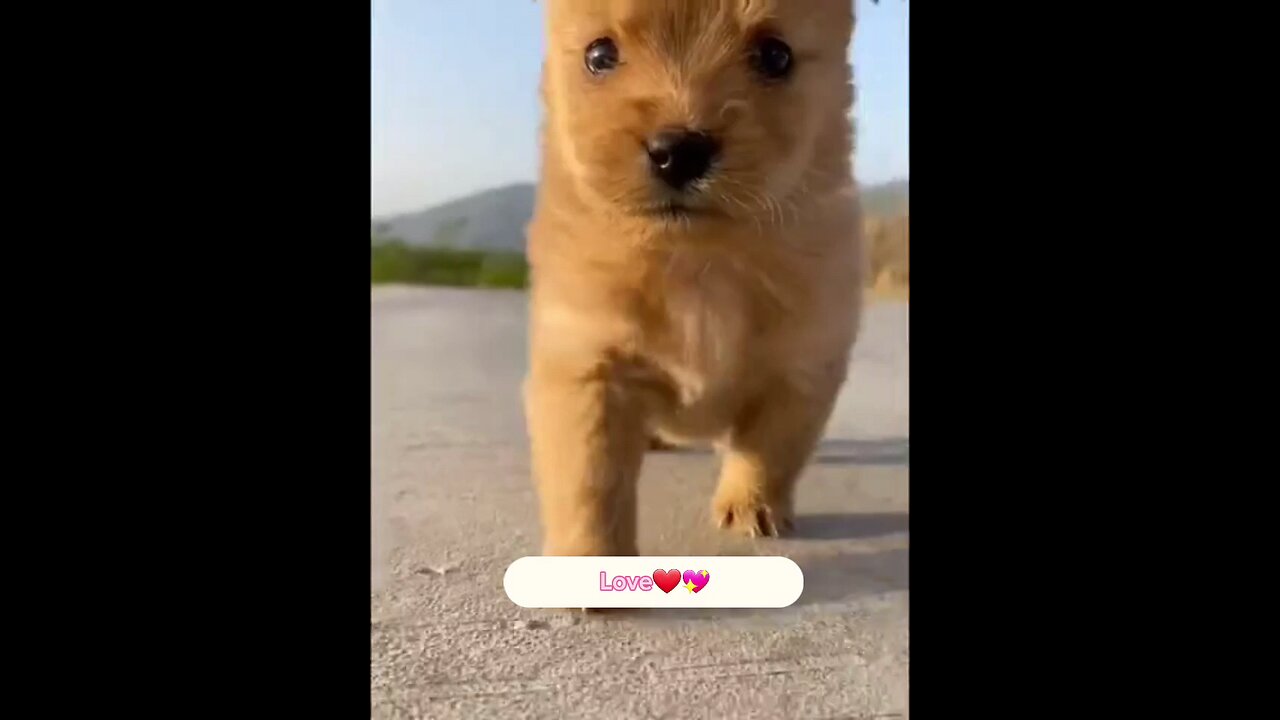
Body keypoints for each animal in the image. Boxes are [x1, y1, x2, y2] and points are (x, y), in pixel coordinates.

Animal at [524, 0, 865, 556]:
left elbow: (771, 447)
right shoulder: (585, 363)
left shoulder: (805, 364)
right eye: (599, 54)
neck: (696, 262)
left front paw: (751, 504)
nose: (677, 151)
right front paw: (590, 557)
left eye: (776, 56)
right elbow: (591, 483)